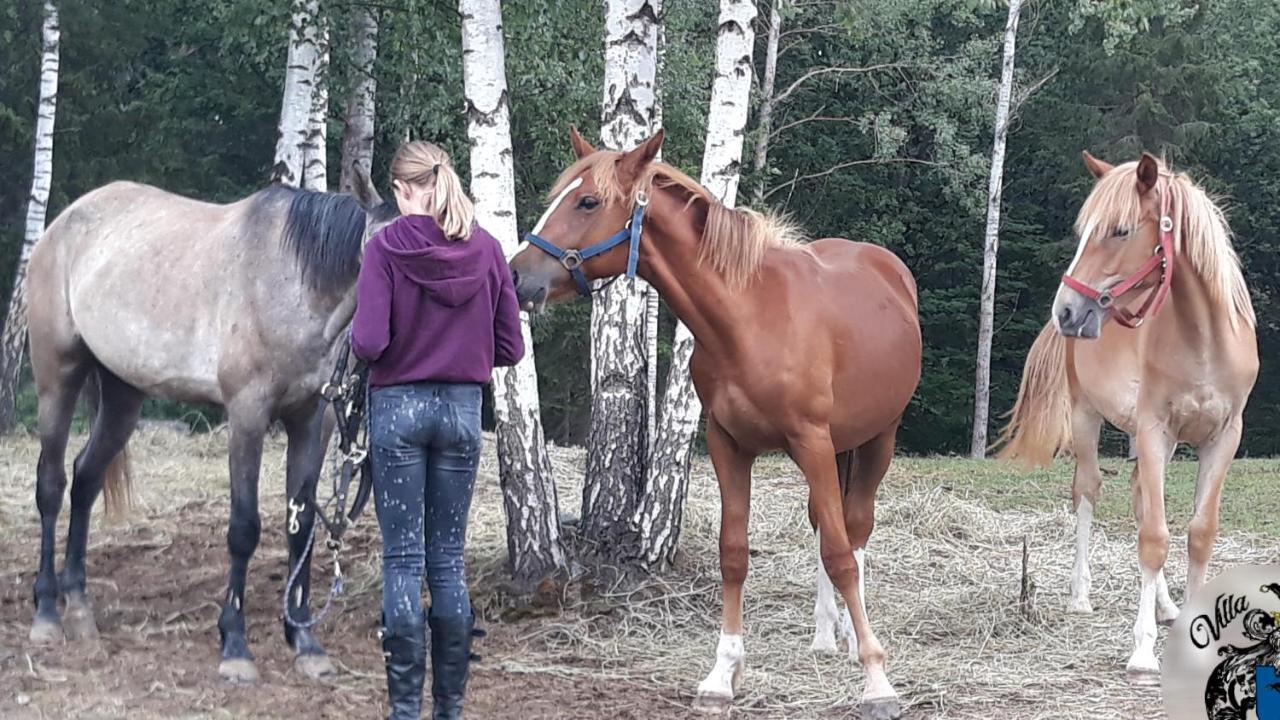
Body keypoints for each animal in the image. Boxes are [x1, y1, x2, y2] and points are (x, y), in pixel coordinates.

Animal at [509, 130, 921, 717]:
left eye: (587, 202)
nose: (519, 276)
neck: (748, 319)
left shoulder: (811, 443)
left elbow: (842, 555)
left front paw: (877, 679)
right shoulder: (729, 446)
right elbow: (734, 554)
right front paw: (722, 673)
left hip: (875, 440)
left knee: (855, 529)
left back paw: (848, 637)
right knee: (828, 524)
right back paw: (826, 633)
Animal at [993, 149, 1254, 676]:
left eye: (1119, 230)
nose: (1066, 311)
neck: (1205, 341)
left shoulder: (1223, 438)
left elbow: (1199, 533)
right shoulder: (1155, 431)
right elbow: (1154, 537)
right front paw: (1142, 652)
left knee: (1138, 499)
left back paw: (1167, 606)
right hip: (1086, 419)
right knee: (1088, 492)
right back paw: (1080, 596)